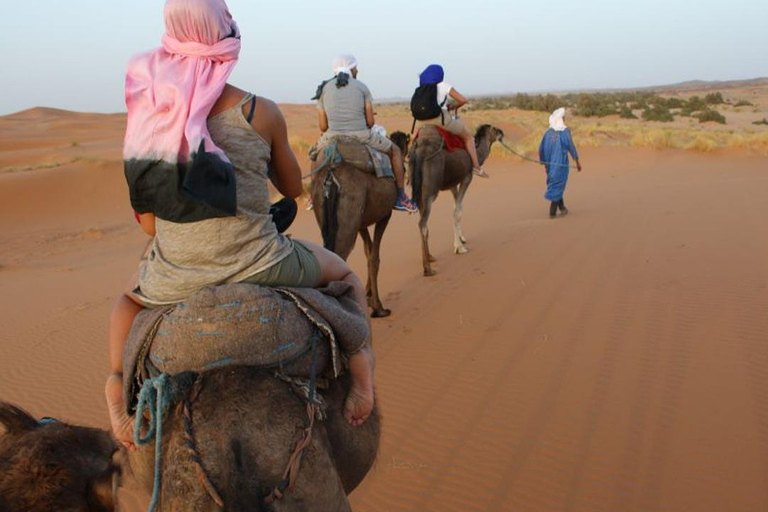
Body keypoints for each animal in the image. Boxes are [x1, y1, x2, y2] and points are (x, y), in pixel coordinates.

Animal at [408, 124, 504, 276]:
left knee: (423, 221)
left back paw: (430, 257)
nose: (502, 133)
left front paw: (461, 240)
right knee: (422, 223)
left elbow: (456, 209)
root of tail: (419, 151)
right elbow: (457, 211)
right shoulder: (467, 177)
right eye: (495, 129)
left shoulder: (453, 184)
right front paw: (460, 248)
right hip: (431, 190)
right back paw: (428, 269)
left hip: (418, 188)